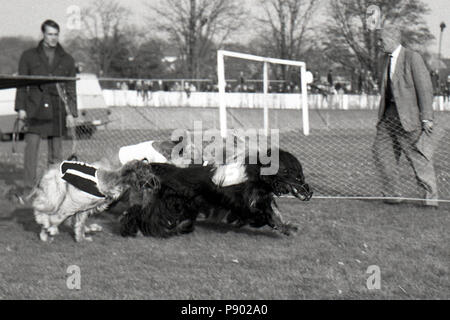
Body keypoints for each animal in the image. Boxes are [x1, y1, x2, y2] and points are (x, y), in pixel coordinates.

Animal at [119, 148, 312, 238]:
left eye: (300, 174)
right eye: (293, 174)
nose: (308, 192)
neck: (256, 175)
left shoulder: (260, 199)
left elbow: (275, 214)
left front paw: (289, 227)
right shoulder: (245, 202)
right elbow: (265, 216)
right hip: (168, 203)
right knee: (142, 214)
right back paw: (133, 229)